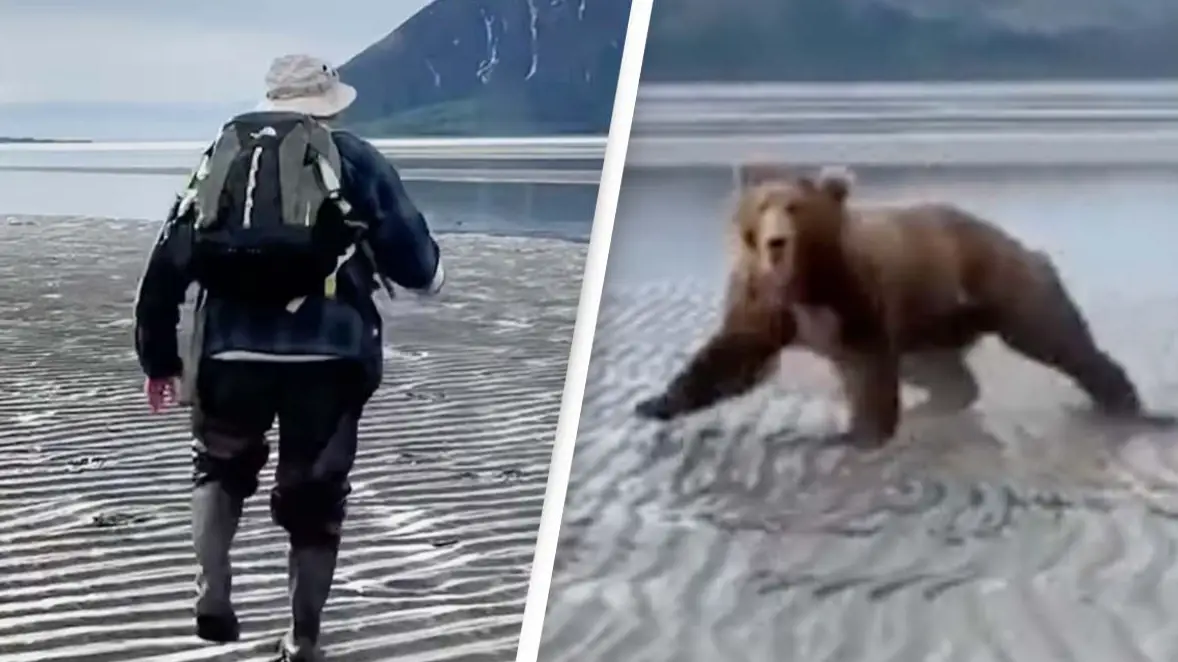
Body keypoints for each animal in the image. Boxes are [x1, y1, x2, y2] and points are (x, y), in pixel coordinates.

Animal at [633, 164, 1144, 447]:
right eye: (762, 207)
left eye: (795, 206)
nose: (776, 242)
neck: (802, 282)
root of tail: (1019, 244)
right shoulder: (765, 303)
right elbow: (732, 356)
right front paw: (654, 403)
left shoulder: (852, 297)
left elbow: (868, 364)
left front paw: (857, 434)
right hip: (933, 323)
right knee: (945, 374)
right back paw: (939, 405)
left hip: (1004, 286)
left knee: (1058, 338)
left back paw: (1123, 402)